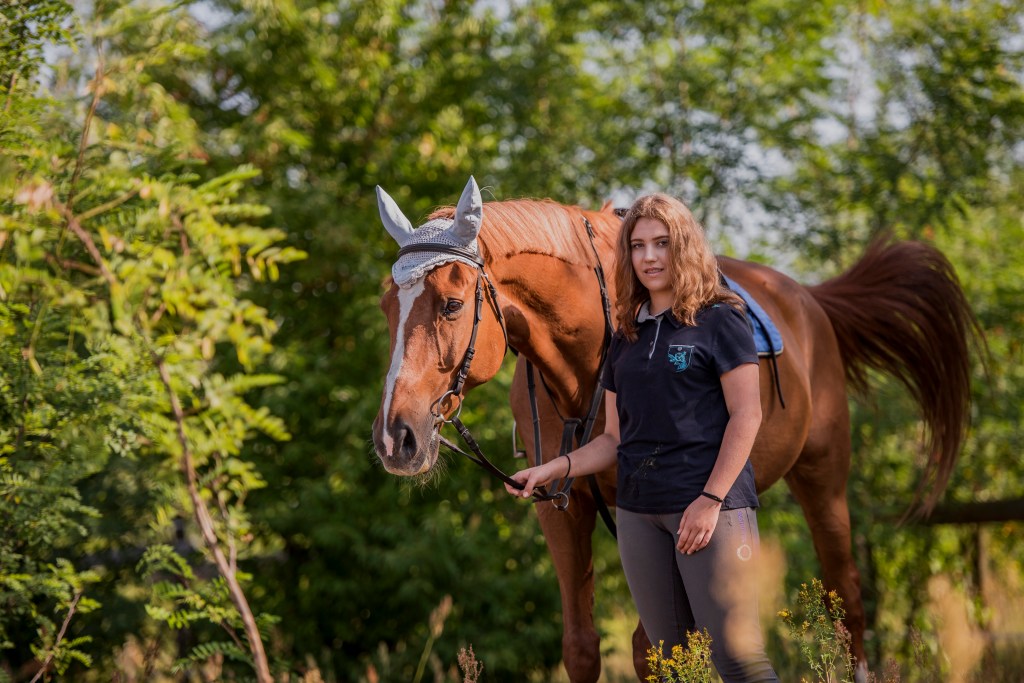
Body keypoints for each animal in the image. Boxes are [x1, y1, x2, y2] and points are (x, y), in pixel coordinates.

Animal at [370, 177, 977, 682]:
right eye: (385, 307)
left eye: (451, 305)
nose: (395, 438)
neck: (589, 353)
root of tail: (810, 300)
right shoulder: (560, 508)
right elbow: (583, 647)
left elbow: (653, 649)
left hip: (822, 478)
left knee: (845, 596)